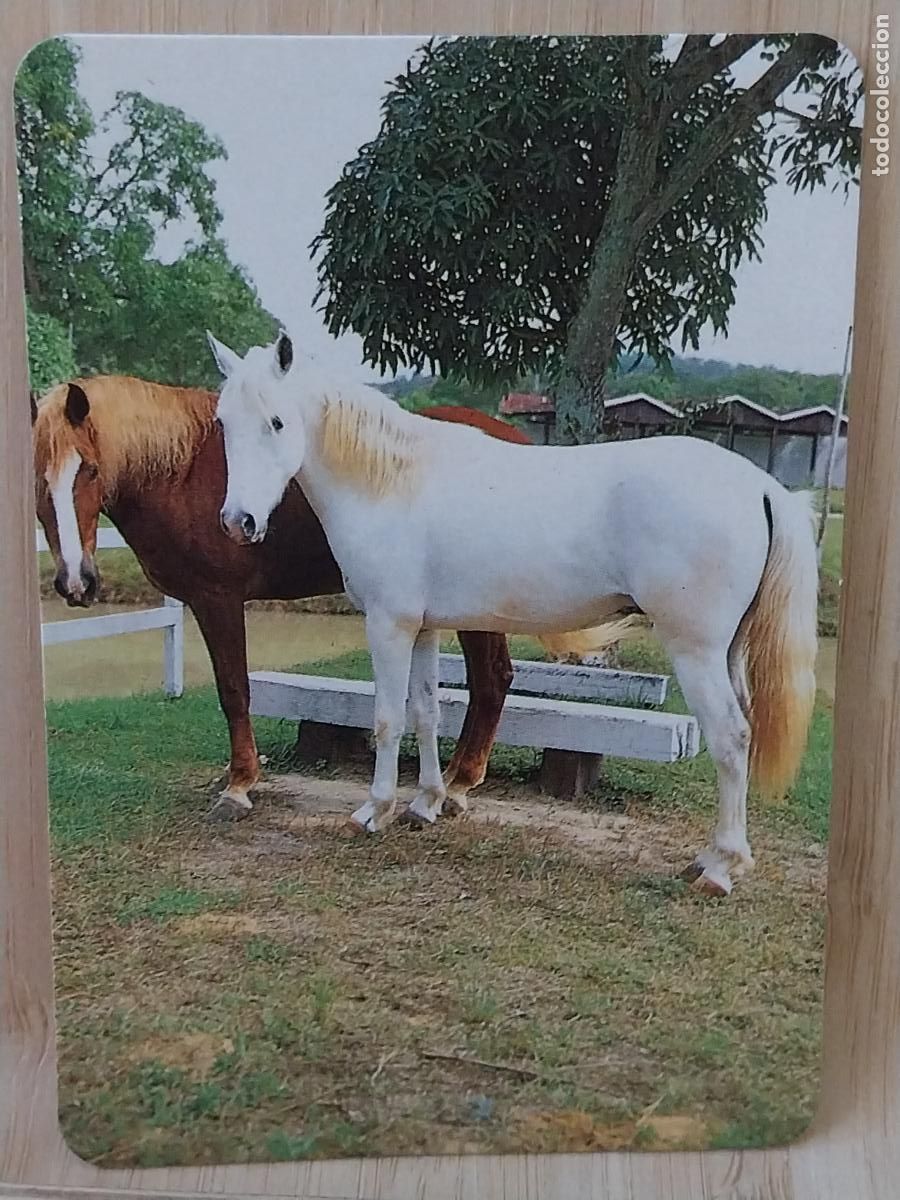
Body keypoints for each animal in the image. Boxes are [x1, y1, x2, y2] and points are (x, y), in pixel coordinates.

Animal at [32, 376, 604, 821]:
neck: (181, 471)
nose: (76, 583)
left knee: (491, 681)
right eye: (38, 475)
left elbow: (233, 690)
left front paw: (239, 785)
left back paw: (457, 787)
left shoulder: (218, 600)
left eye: (88, 469)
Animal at [210, 331, 819, 897]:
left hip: (695, 652)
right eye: (223, 423)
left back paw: (719, 869)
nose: (239, 522)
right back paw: (715, 859)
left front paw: (373, 811)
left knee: (731, 739)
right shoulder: (423, 628)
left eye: (277, 422)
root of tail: (763, 486)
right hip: (728, 651)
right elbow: (426, 712)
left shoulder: (388, 625)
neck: (393, 482)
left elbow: (386, 719)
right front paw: (424, 804)